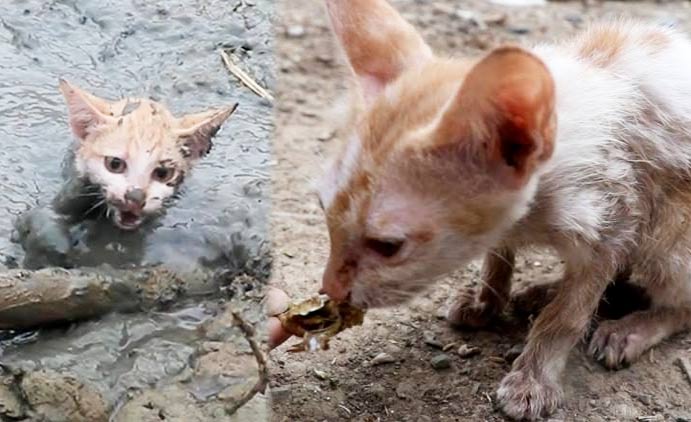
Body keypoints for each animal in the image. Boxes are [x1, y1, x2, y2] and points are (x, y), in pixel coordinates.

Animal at [318, 0, 691, 420]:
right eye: (323, 208)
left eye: (387, 246)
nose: (329, 290)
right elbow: (497, 260)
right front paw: (486, 303)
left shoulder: (614, 216)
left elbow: (568, 314)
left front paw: (533, 381)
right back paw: (545, 291)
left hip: (671, 235)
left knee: (680, 301)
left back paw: (632, 327)